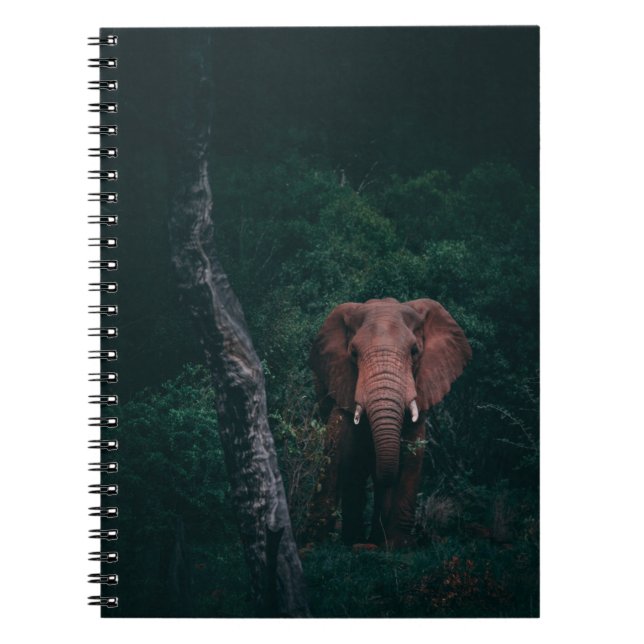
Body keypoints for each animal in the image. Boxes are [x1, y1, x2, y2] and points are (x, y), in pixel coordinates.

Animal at [306, 297, 471, 548]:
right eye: (353, 353)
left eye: (414, 351)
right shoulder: (341, 379)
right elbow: (336, 447)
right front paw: (315, 543)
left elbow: (414, 452)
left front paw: (398, 545)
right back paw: (355, 539)